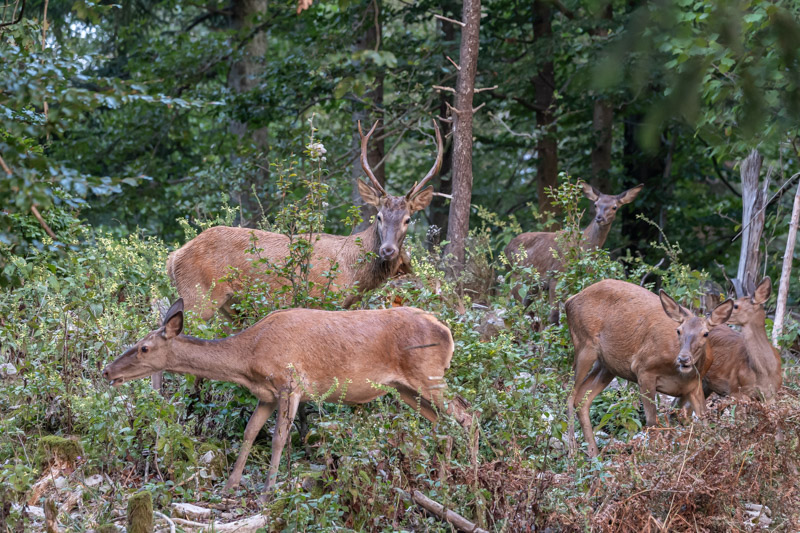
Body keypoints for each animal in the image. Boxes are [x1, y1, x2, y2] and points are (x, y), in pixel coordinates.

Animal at [103, 300, 472, 494]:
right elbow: (251, 432)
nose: (106, 371)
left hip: (429, 375)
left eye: (144, 347)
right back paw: (442, 478)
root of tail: (447, 331)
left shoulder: (290, 383)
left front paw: (269, 490)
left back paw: (466, 474)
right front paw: (231, 484)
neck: (248, 357)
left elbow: (280, 438)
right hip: (406, 388)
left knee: (467, 413)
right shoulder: (266, 395)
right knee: (442, 424)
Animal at [168, 119, 444, 320]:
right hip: (198, 298)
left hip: (230, 308)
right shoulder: (321, 297)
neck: (354, 272)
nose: (388, 250)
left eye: (407, 219)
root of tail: (174, 258)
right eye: (378, 216)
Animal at [506, 181, 644, 322]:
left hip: (532, 285)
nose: (599, 218)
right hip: (516, 276)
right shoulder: (556, 275)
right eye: (596, 204)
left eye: (614, 207)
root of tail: (507, 247)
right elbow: (554, 317)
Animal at [564, 278, 732, 458]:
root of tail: (569, 301)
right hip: (584, 346)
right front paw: (652, 456)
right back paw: (573, 452)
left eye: (706, 333)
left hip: (606, 365)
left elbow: (704, 420)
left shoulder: (694, 385)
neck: (680, 374)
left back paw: (594, 454)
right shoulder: (643, 369)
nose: (684, 359)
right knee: (570, 395)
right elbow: (652, 422)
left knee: (583, 397)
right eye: (678, 331)